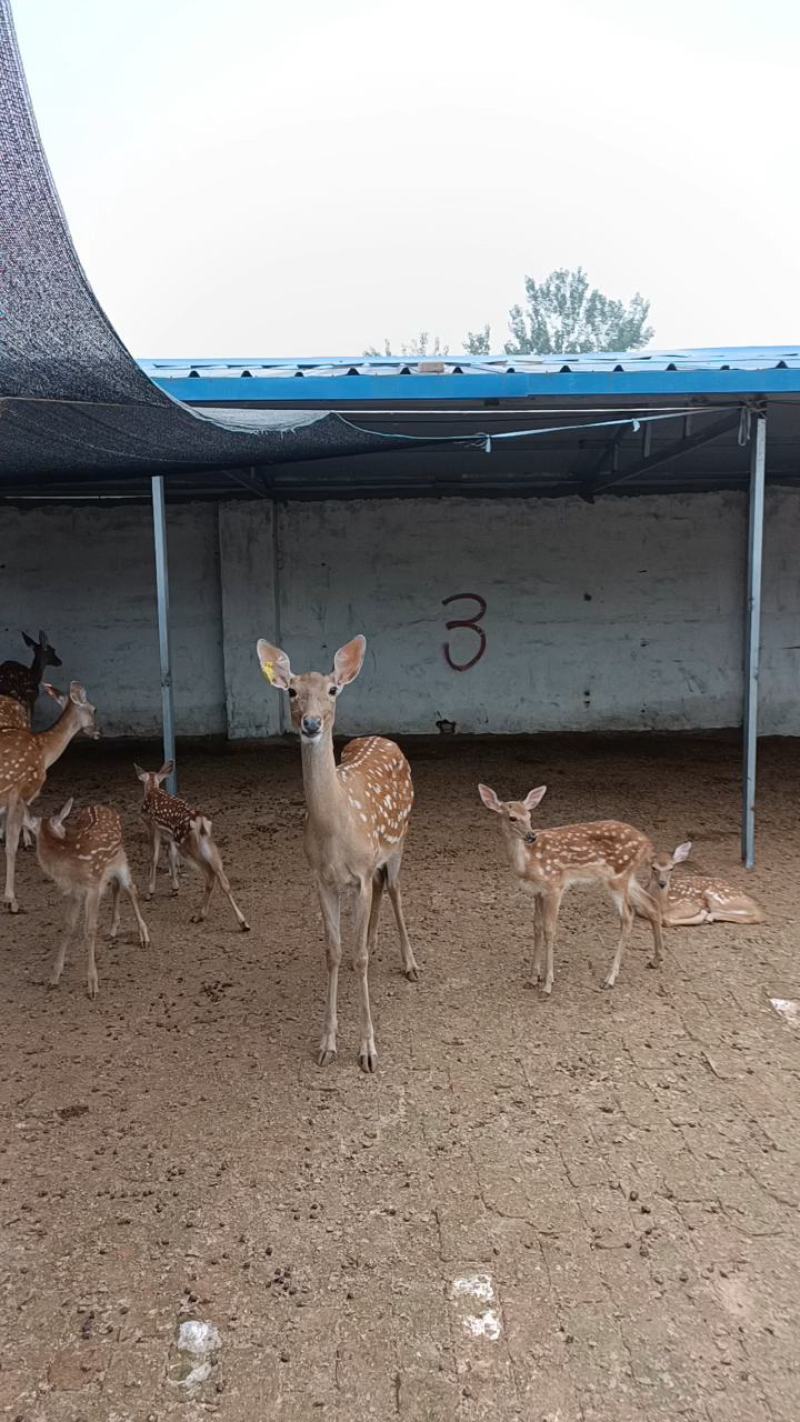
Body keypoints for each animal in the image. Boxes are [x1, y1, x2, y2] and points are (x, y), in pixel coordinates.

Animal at [0, 681, 98, 913]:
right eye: (94, 709)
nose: (98, 731)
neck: (44, 751)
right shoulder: (20, 791)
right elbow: (11, 845)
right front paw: (10, 900)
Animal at [23, 800, 150, 998]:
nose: (66, 834)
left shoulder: (93, 888)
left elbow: (89, 930)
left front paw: (93, 985)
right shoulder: (74, 892)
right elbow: (68, 926)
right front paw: (54, 977)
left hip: (121, 859)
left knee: (131, 889)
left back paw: (144, 936)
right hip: (109, 869)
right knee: (116, 886)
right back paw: (113, 929)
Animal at [133, 761, 250, 932]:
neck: (153, 787)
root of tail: (200, 821)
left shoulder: (152, 827)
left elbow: (153, 858)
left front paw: (150, 893)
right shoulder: (169, 836)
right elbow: (170, 855)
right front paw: (174, 888)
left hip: (188, 846)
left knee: (210, 875)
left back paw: (199, 916)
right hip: (207, 845)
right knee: (222, 879)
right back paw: (242, 922)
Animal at [256, 634, 418, 1073]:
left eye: (332, 690)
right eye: (292, 691)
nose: (311, 724)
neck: (336, 830)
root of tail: (384, 739)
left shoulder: (359, 872)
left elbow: (357, 958)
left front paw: (367, 1050)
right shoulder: (322, 879)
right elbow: (334, 951)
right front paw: (327, 1043)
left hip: (400, 839)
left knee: (394, 888)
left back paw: (410, 962)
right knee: (380, 890)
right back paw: (376, 941)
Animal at [478, 784, 664, 993]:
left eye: (529, 815)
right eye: (512, 817)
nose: (531, 836)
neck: (527, 864)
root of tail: (648, 844)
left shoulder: (555, 885)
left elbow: (550, 930)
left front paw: (547, 984)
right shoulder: (537, 891)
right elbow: (537, 927)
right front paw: (533, 978)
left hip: (618, 876)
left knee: (628, 916)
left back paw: (610, 978)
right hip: (626, 876)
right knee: (651, 903)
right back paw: (656, 959)